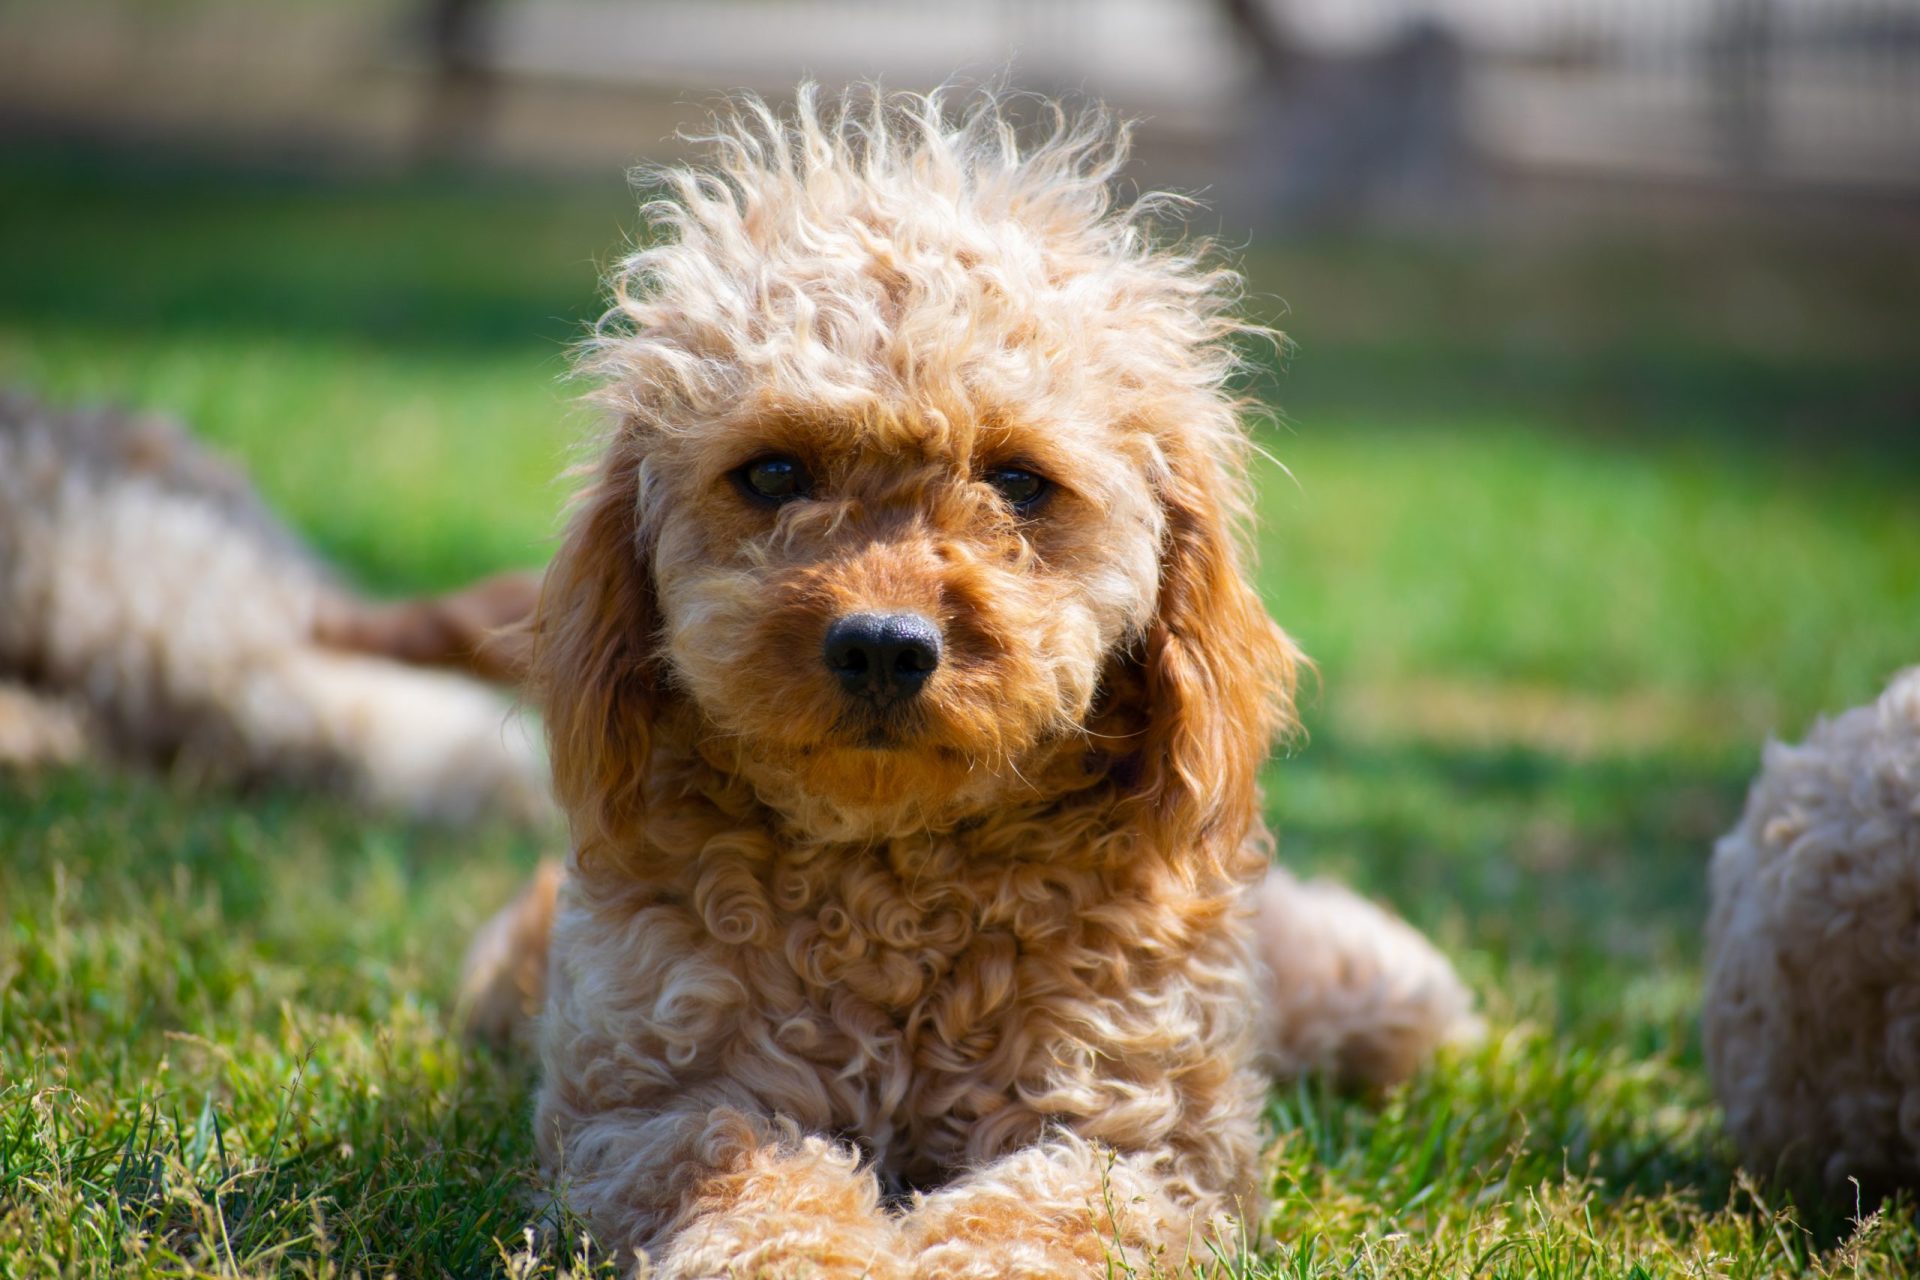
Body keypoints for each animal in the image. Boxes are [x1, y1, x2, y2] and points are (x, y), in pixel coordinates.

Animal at [460, 84, 1466, 1274]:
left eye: (1020, 482)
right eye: (772, 472)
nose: (884, 645)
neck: (900, 882)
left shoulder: (1140, 1140)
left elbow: (1038, 1211)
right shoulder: (647, 1108)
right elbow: (752, 1173)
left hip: (1378, 994)